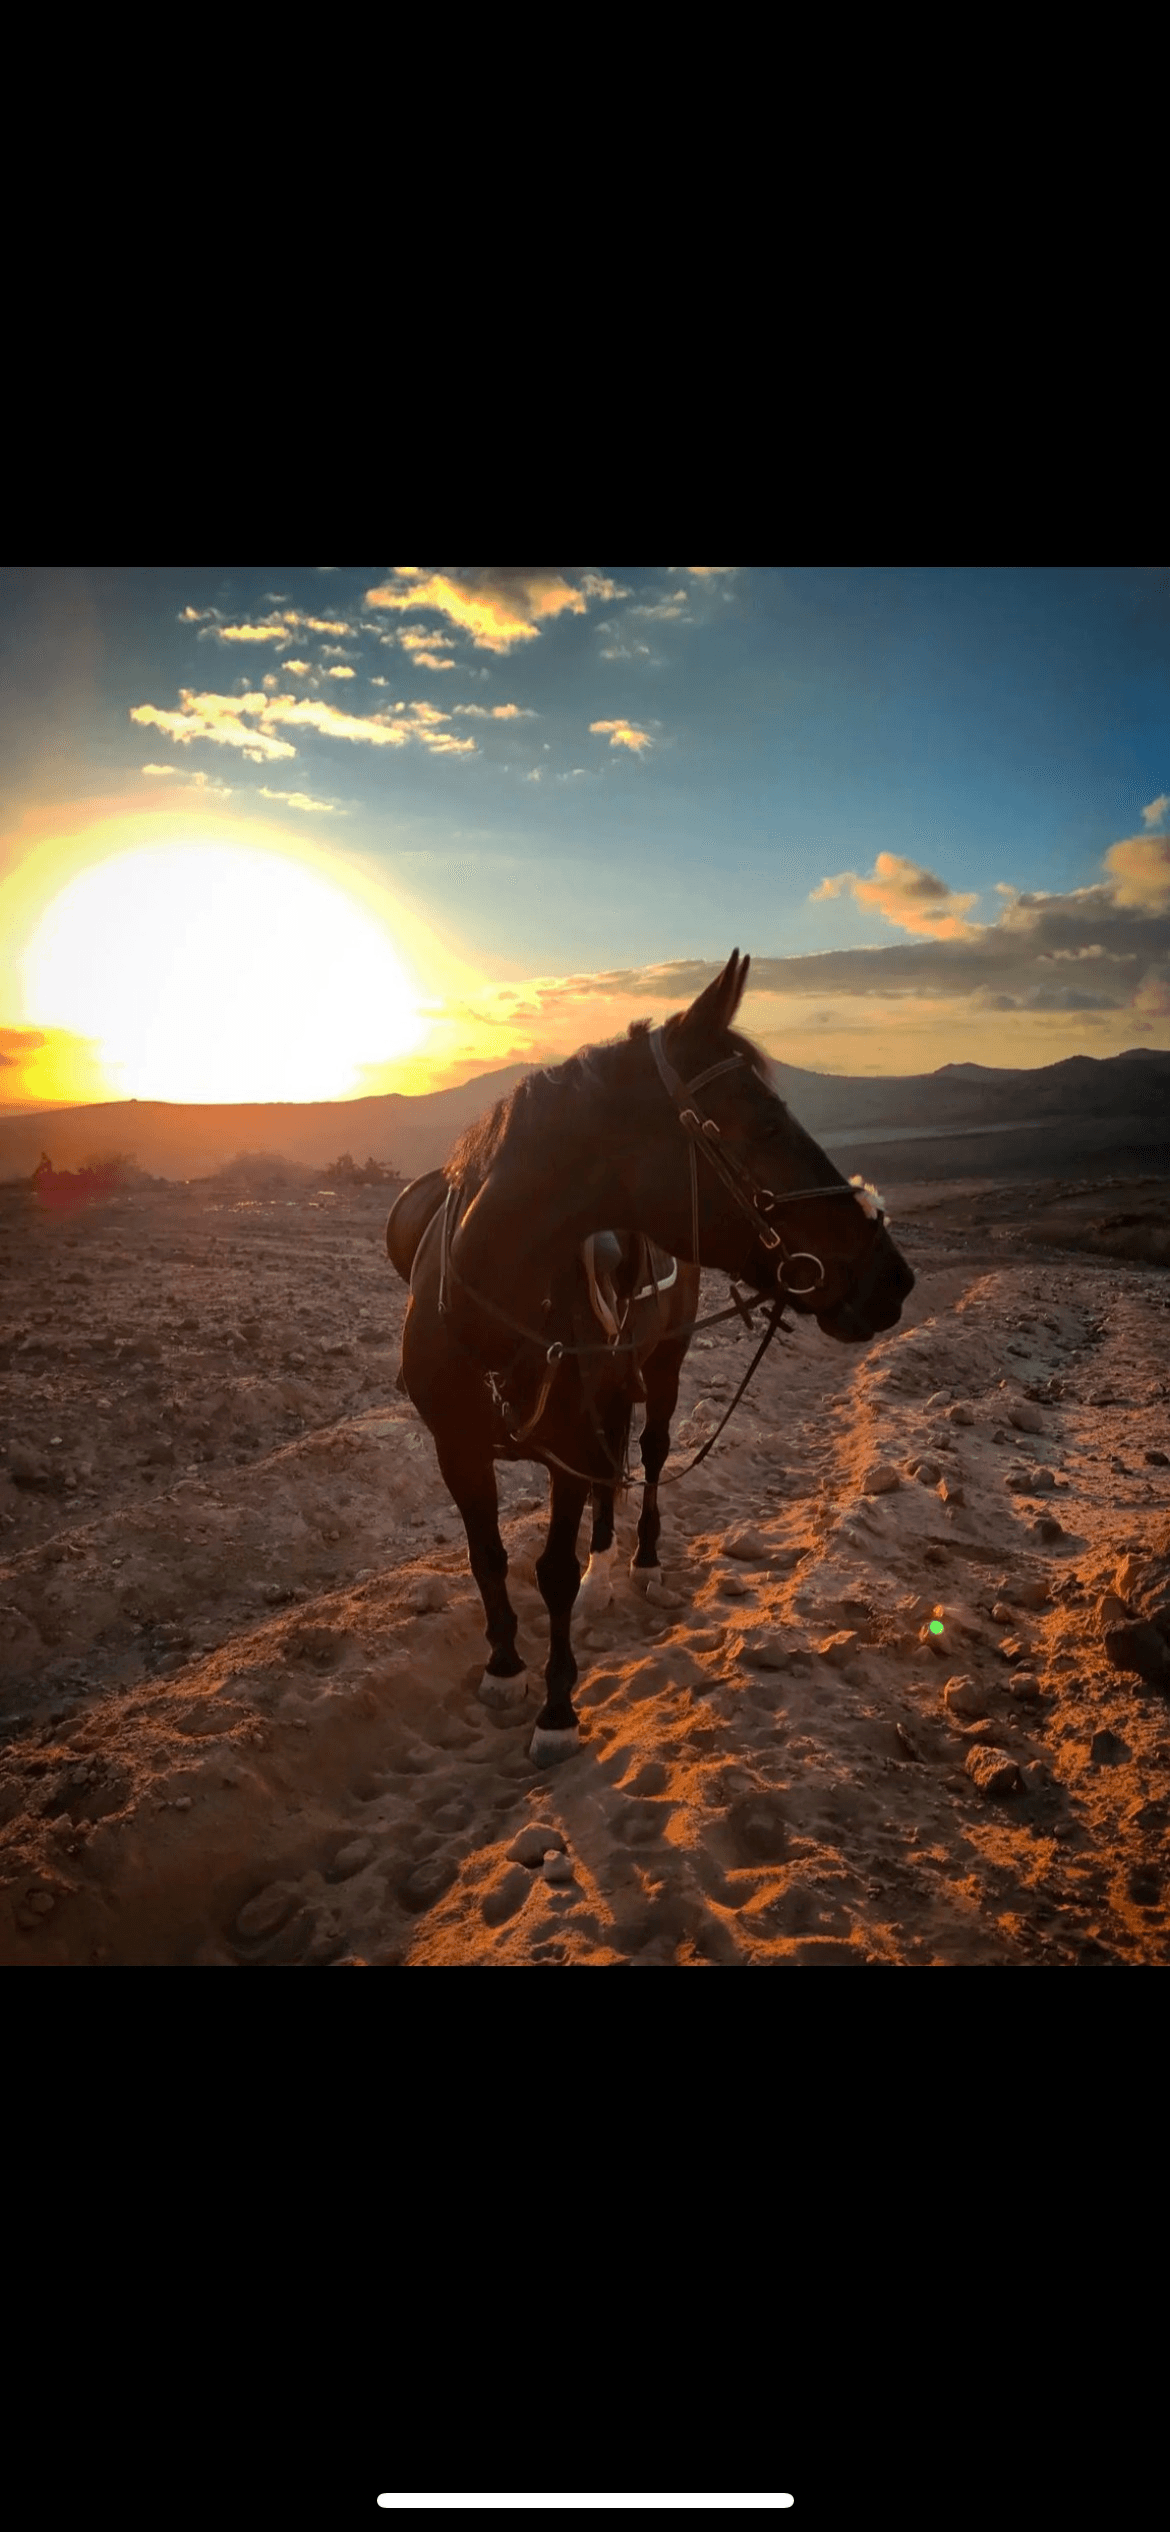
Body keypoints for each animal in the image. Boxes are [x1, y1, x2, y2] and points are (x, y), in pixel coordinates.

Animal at [386, 950, 916, 1765]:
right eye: (766, 1122)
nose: (891, 1277)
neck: (491, 1310)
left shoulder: (568, 1452)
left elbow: (553, 1572)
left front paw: (559, 1709)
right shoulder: (460, 1447)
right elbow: (488, 1557)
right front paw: (505, 1670)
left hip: (663, 1369)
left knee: (653, 1457)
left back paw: (639, 1566)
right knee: (615, 1473)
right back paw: (607, 1572)